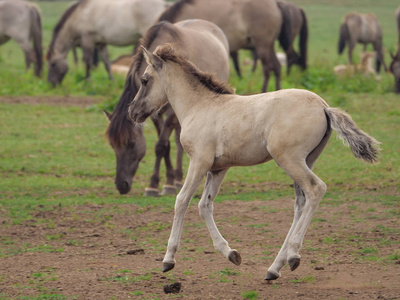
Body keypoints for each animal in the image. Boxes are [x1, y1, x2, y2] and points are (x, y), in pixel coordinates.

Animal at [103, 19, 230, 196]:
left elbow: (160, 146)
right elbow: (166, 146)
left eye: (132, 143)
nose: (121, 185)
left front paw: (155, 185)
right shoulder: (155, 114)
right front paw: (166, 181)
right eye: (112, 146)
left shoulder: (171, 113)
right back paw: (177, 179)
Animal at [128, 44, 382, 282]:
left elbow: (181, 201)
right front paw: (231, 254)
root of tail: (323, 106)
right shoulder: (219, 168)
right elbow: (204, 205)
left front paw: (168, 260)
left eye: (144, 79)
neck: (199, 106)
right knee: (300, 203)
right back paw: (274, 268)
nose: (132, 112)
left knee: (316, 189)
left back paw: (293, 255)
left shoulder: (199, 161)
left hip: (289, 159)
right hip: (306, 160)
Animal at [158, 0, 290, 91]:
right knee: (277, 67)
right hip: (269, 46)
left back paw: (264, 91)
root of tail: (276, 4)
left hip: (262, 45)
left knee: (268, 68)